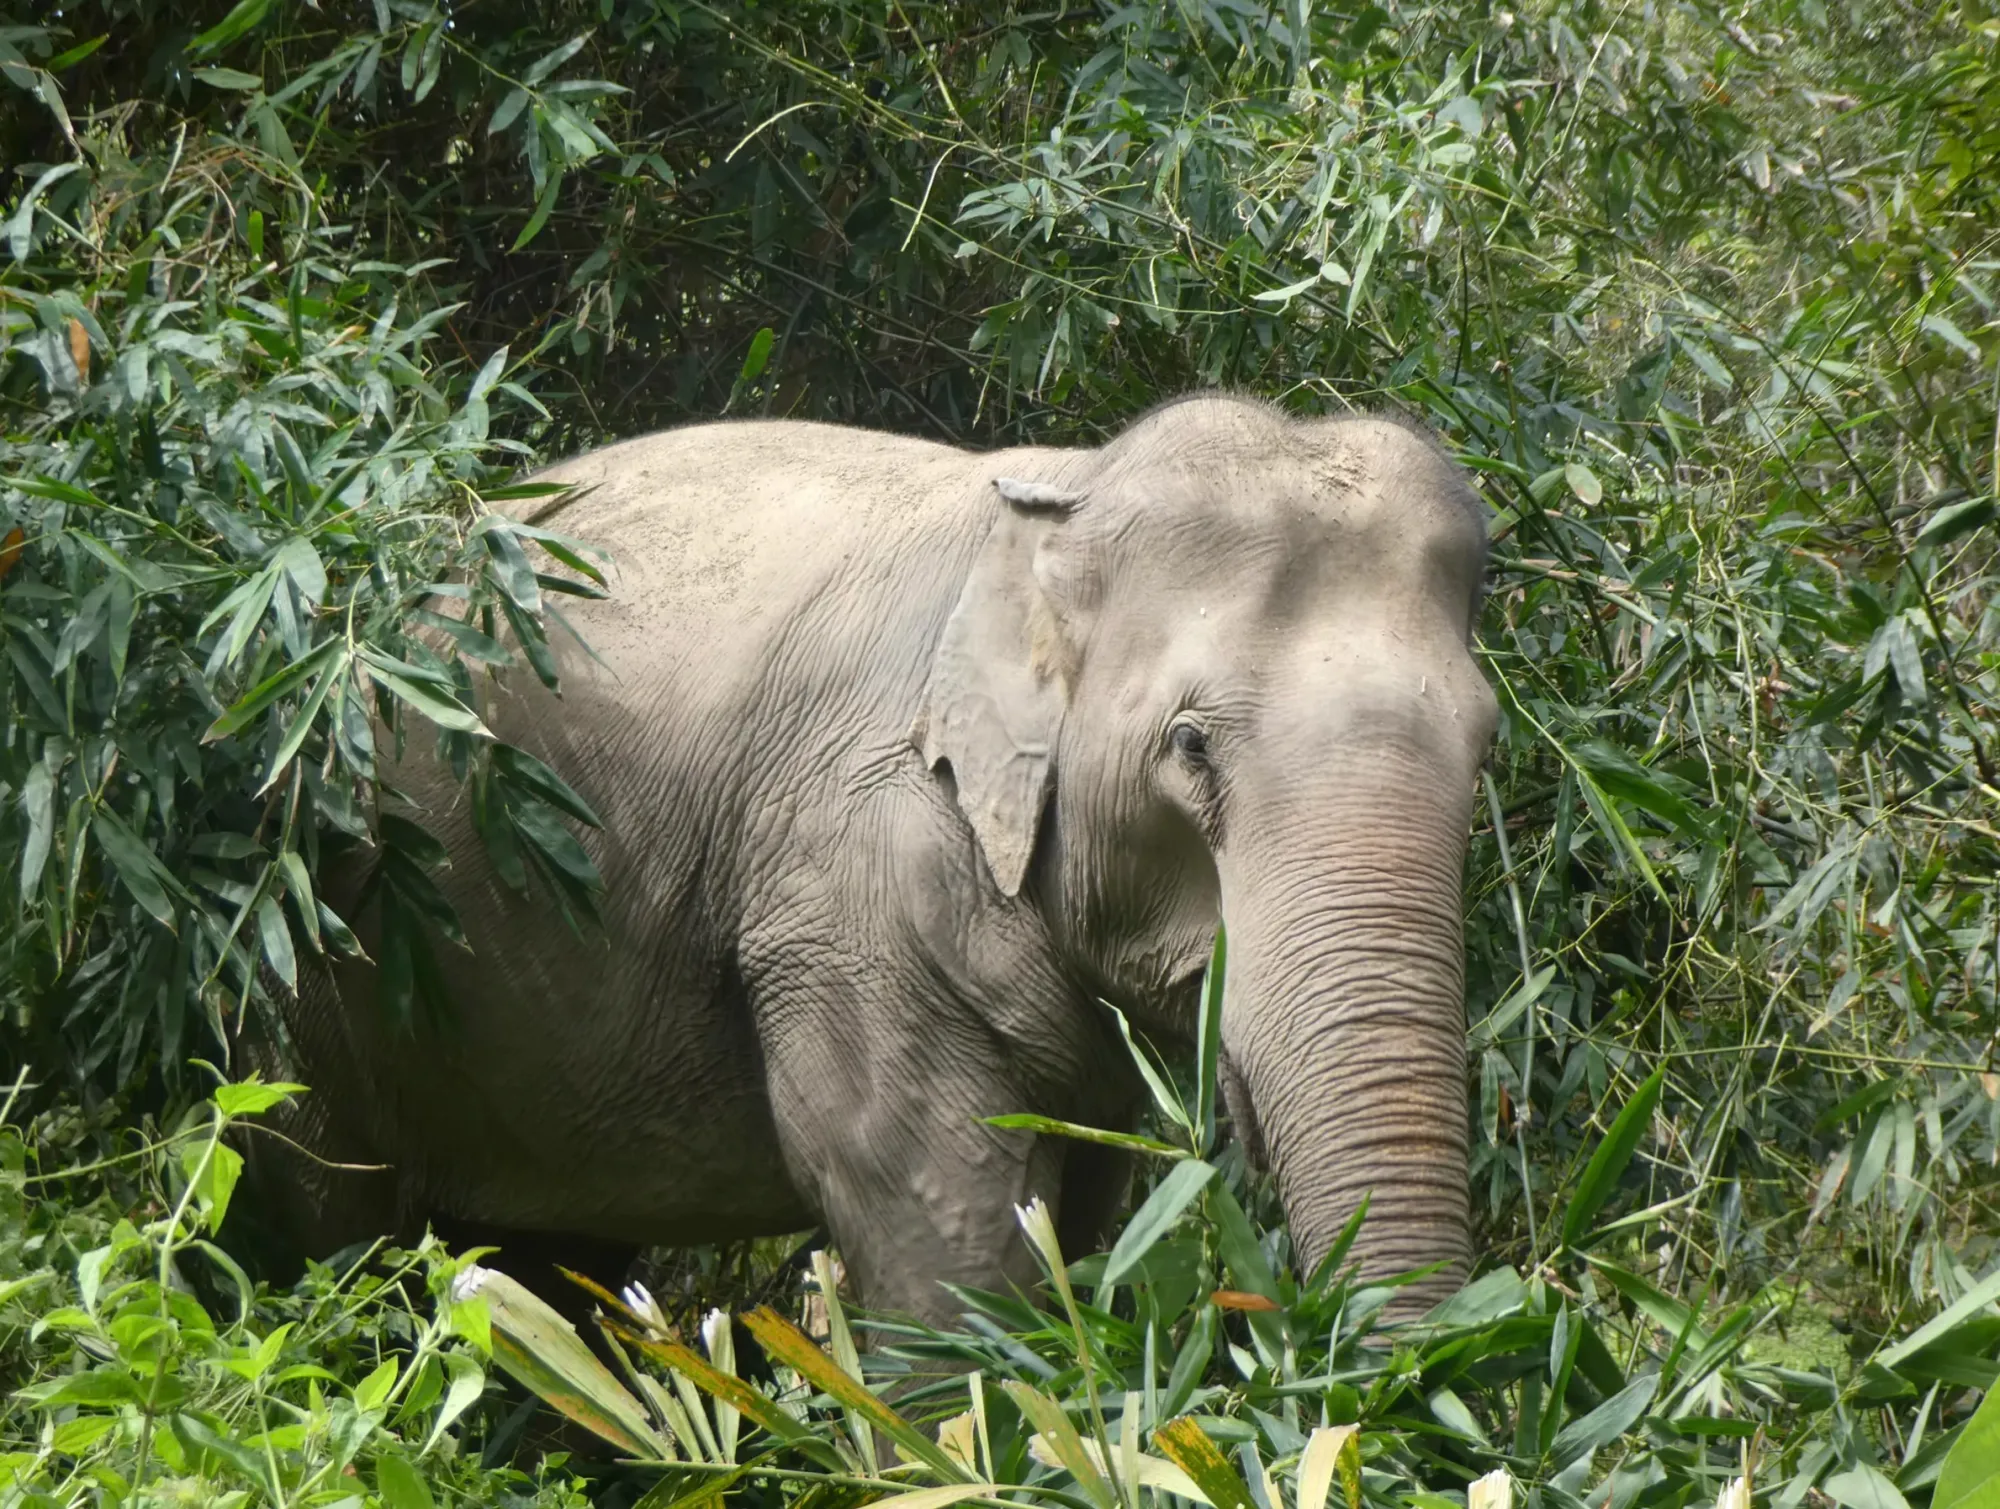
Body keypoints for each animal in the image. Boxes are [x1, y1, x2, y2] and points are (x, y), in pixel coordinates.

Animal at [256, 393, 1498, 1329]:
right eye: (1188, 748)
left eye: (1484, 740)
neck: (1062, 497)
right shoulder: (846, 888)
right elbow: (939, 1224)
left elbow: (1072, 1206)